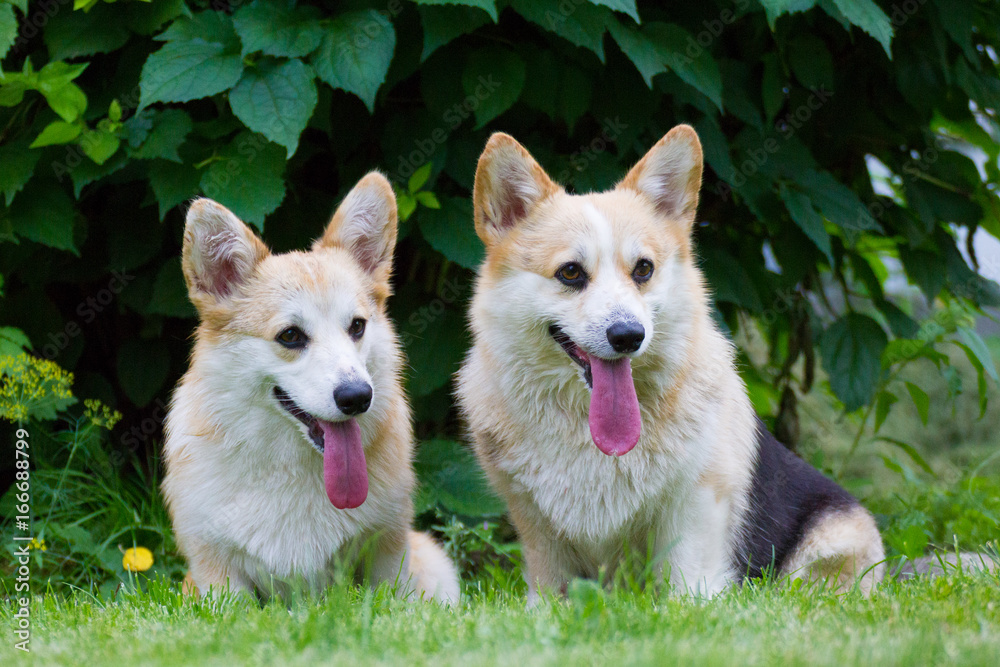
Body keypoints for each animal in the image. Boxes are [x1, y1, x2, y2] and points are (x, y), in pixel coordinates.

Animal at [165, 174, 460, 604]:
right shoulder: (217, 569)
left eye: (357, 326)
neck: (295, 468)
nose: (357, 398)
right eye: (290, 336)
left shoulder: (386, 554)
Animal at [458, 125, 888, 600]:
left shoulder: (694, 511)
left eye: (643, 269)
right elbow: (553, 593)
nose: (628, 336)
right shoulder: (537, 528)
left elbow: (686, 594)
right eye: (570, 272)